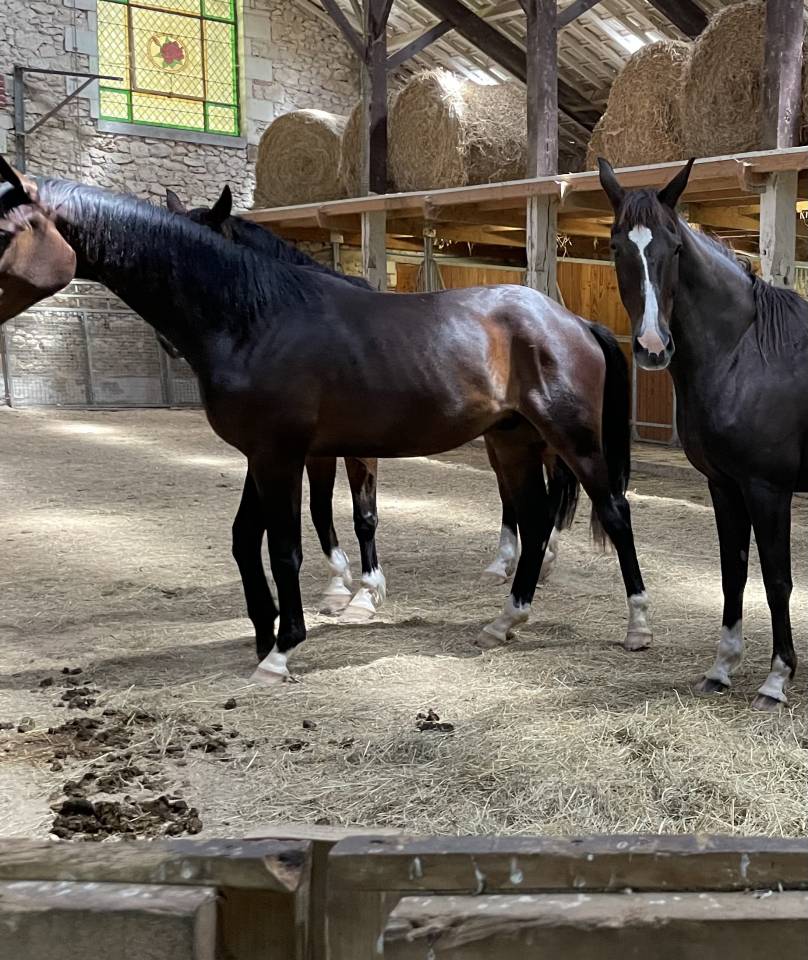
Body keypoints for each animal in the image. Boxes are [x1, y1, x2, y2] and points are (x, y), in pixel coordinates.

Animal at [165, 185, 561, 589]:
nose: (169, 345)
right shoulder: (314, 450)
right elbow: (320, 508)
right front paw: (339, 579)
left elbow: (361, 513)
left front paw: (366, 582)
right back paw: (510, 561)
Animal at [599, 156, 805, 710]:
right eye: (616, 245)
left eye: (674, 247)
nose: (653, 347)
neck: (746, 352)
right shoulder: (723, 485)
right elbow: (733, 571)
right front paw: (722, 668)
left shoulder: (768, 489)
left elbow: (776, 579)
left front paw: (776, 680)